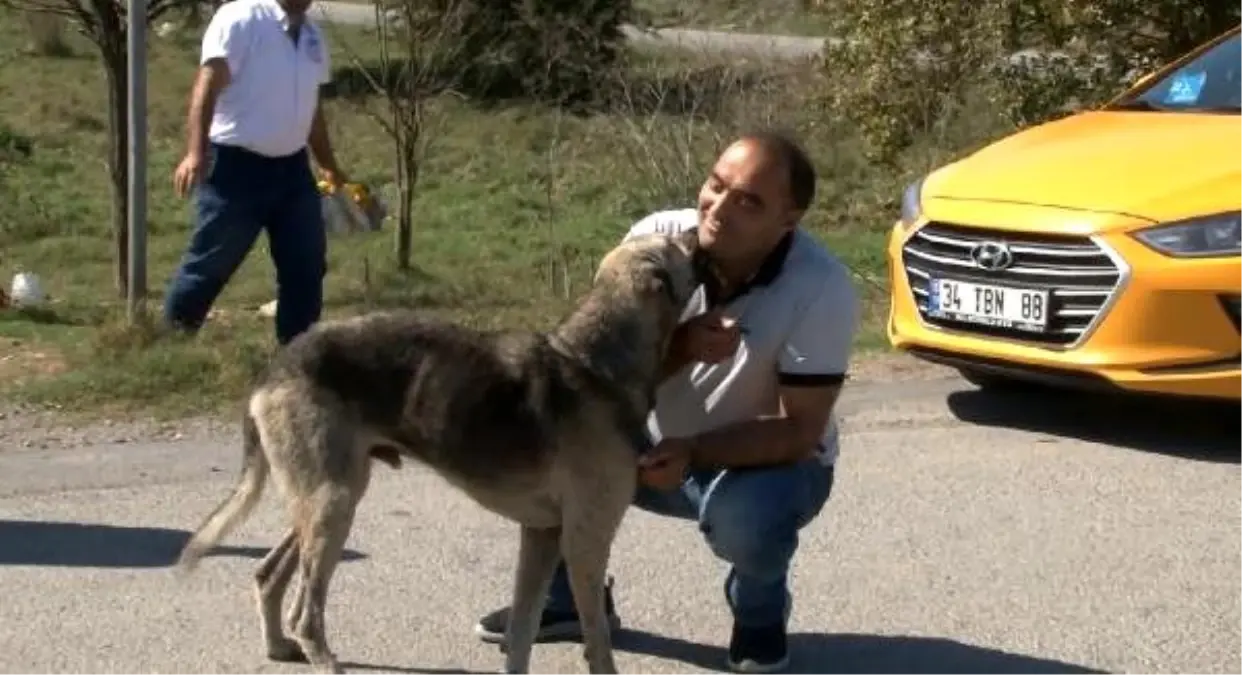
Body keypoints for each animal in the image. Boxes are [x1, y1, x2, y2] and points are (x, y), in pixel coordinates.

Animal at [172, 229, 710, 671]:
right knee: (307, 616)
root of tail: (276, 366)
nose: (699, 231)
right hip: (331, 503)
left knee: (268, 574)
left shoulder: (542, 535)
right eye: (673, 241)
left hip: (326, 494)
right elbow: (597, 644)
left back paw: (277, 645)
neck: (593, 363)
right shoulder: (584, 540)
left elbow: (521, 634)